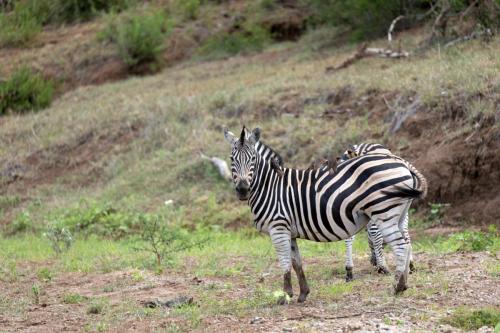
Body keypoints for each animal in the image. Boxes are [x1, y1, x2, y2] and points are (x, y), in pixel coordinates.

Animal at [225, 126, 428, 300]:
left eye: (252, 159)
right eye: (232, 160)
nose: (242, 190)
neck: (270, 187)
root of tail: (399, 161)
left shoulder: (278, 227)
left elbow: (284, 263)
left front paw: (285, 295)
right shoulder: (289, 231)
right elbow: (297, 262)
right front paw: (303, 293)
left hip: (382, 212)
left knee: (399, 245)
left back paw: (397, 286)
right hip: (398, 213)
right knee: (406, 240)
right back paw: (403, 280)